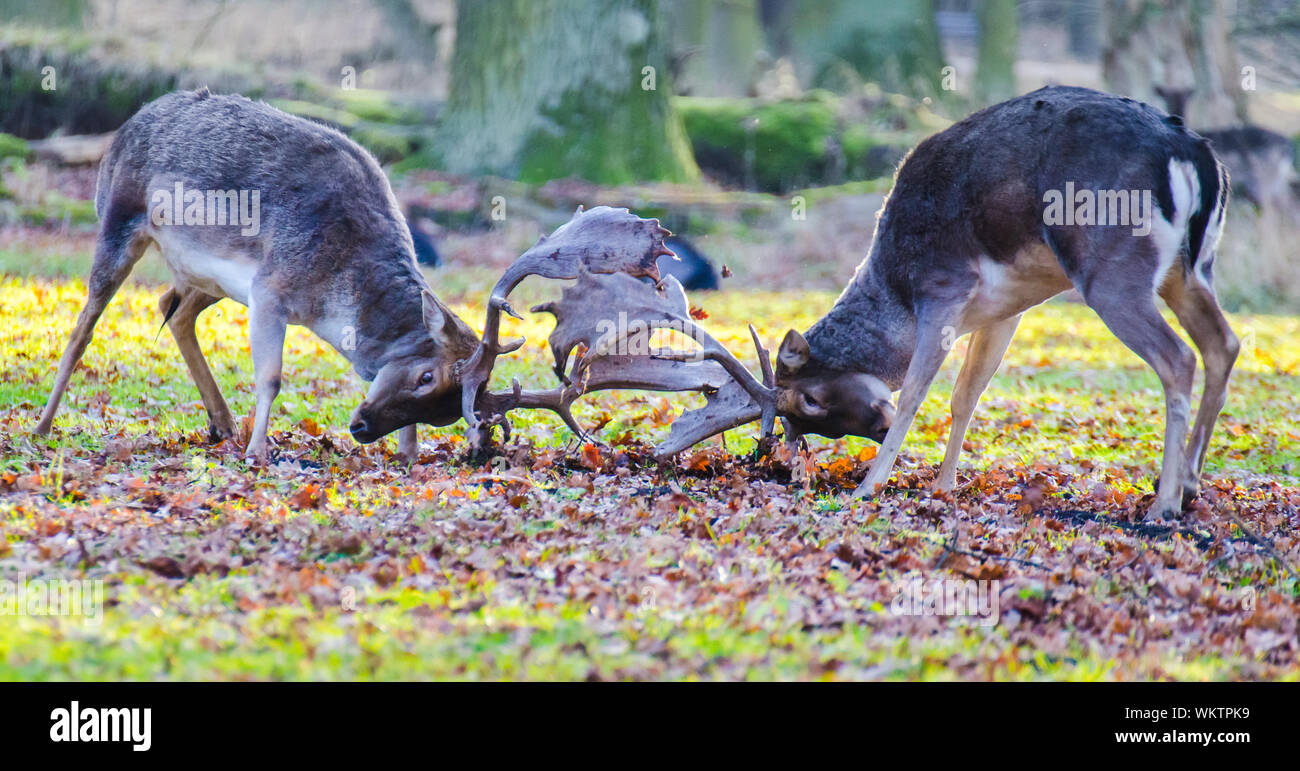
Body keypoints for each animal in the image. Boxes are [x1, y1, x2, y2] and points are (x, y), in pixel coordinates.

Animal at [33, 89, 482, 464]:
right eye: (427, 376)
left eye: (446, 413)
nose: (362, 428)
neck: (334, 296)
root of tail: (123, 130)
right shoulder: (271, 289)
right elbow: (270, 378)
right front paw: (257, 452)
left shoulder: (257, 287)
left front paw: (408, 454)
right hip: (118, 222)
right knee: (84, 326)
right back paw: (42, 426)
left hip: (211, 278)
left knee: (172, 308)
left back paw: (223, 424)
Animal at [656, 86, 1236, 523]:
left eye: (810, 402)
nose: (877, 426)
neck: (895, 286)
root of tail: (1196, 158)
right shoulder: (1007, 307)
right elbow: (965, 395)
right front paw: (943, 484)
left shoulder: (942, 285)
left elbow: (917, 390)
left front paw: (869, 485)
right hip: (1192, 270)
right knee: (1223, 344)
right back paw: (1190, 486)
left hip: (1111, 271)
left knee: (1178, 357)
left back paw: (1163, 503)